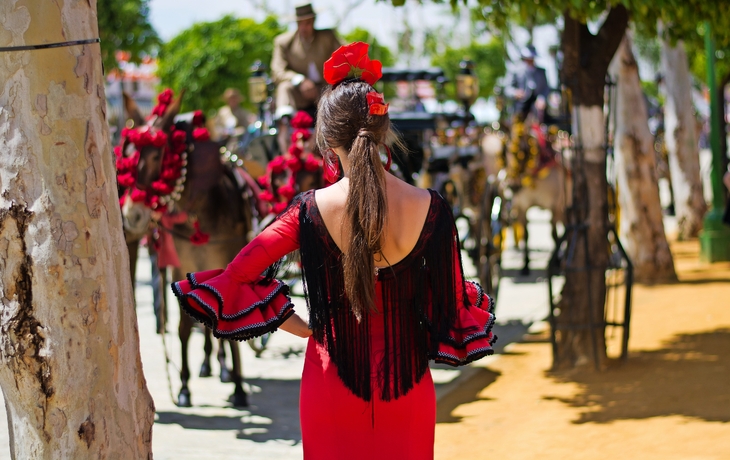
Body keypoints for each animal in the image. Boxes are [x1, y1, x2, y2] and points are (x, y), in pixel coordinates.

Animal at [120, 91, 255, 407]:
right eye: (128, 155)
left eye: (157, 156)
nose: (132, 215)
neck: (199, 213)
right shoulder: (181, 267)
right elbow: (183, 327)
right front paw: (183, 387)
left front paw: (239, 388)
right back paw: (207, 364)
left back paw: (223, 368)